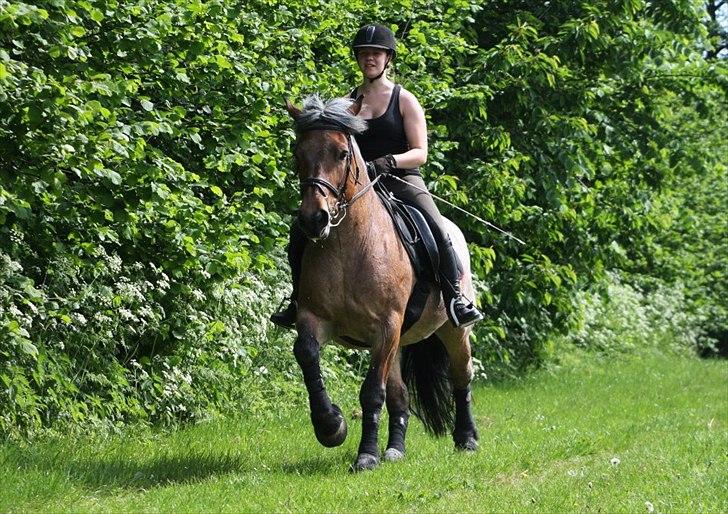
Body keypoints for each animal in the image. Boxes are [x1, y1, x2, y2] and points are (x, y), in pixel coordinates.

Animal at [288, 94, 480, 470]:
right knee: (400, 396)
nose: (314, 219)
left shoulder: (385, 327)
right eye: (298, 153)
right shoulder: (314, 318)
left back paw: (466, 439)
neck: (348, 245)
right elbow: (306, 355)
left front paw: (365, 455)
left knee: (461, 377)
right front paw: (331, 425)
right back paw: (395, 449)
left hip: (452, 331)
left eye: (342, 153)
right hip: (399, 342)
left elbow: (371, 392)